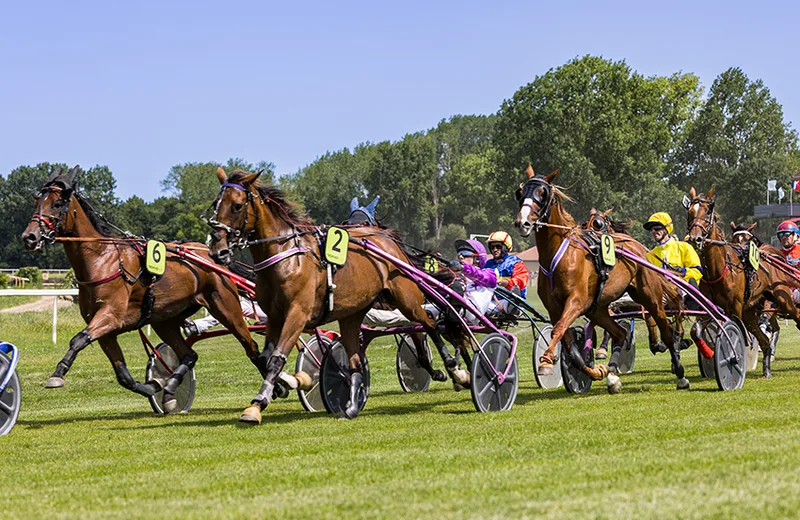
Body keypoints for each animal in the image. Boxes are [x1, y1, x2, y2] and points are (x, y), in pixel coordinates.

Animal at [20, 166, 264, 410]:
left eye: (57, 203)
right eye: (37, 202)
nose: (29, 237)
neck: (101, 259)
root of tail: (211, 254)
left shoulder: (110, 316)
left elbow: (78, 339)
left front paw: (57, 374)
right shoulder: (106, 331)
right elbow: (123, 376)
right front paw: (153, 386)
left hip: (225, 307)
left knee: (251, 347)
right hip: (164, 319)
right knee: (189, 354)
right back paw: (170, 386)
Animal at [206, 168, 472, 422]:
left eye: (237, 205)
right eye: (216, 204)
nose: (217, 250)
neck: (286, 256)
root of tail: (386, 239)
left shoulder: (297, 314)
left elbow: (276, 358)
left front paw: (258, 403)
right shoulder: (274, 316)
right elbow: (264, 357)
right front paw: (289, 383)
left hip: (406, 298)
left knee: (430, 324)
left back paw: (456, 371)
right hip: (353, 313)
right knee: (356, 361)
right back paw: (352, 406)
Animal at [520, 166, 688, 390]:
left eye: (542, 193)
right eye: (520, 192)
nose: (523, 222)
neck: (560, 255)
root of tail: (639, 248)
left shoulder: (576, 301)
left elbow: (558, 330)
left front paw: (546, 362)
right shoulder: (556, 308)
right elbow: (570, 346)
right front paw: (594, 370)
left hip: (649, 297)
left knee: (666, 330)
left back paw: (680, 371)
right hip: (598, 309)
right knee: (620, 333)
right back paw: (612, 374)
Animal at [684, 188, 800, 378]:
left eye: (708, 212)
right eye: (690, 211)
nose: (695, 238)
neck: (719, 269)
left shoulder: (735, 308)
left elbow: (734, 333)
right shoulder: (709, 308)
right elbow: (696, 330)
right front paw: (709, 353)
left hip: (782, 299)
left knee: (795, 314)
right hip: (750, 311)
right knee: (764, 340)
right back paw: (766, 370)